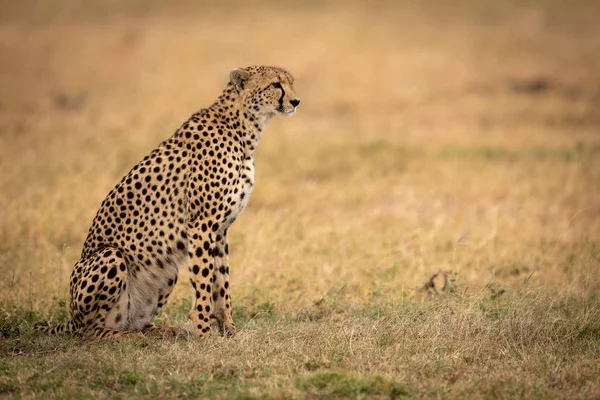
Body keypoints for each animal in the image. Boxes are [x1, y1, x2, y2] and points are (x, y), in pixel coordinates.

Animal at [37, 65, 300, 338]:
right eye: (275, 84)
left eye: (291, 83)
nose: (295, 101)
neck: (243, 130)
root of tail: (70, 317)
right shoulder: (201, 225)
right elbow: (204, 282)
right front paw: (205, 335)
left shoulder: (220, 230)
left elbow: (222, 283)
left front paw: (229, 331)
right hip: (111, 256)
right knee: (89, 329)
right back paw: (123, 336)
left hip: (167, 271)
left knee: (134, 321)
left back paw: (159, 331)